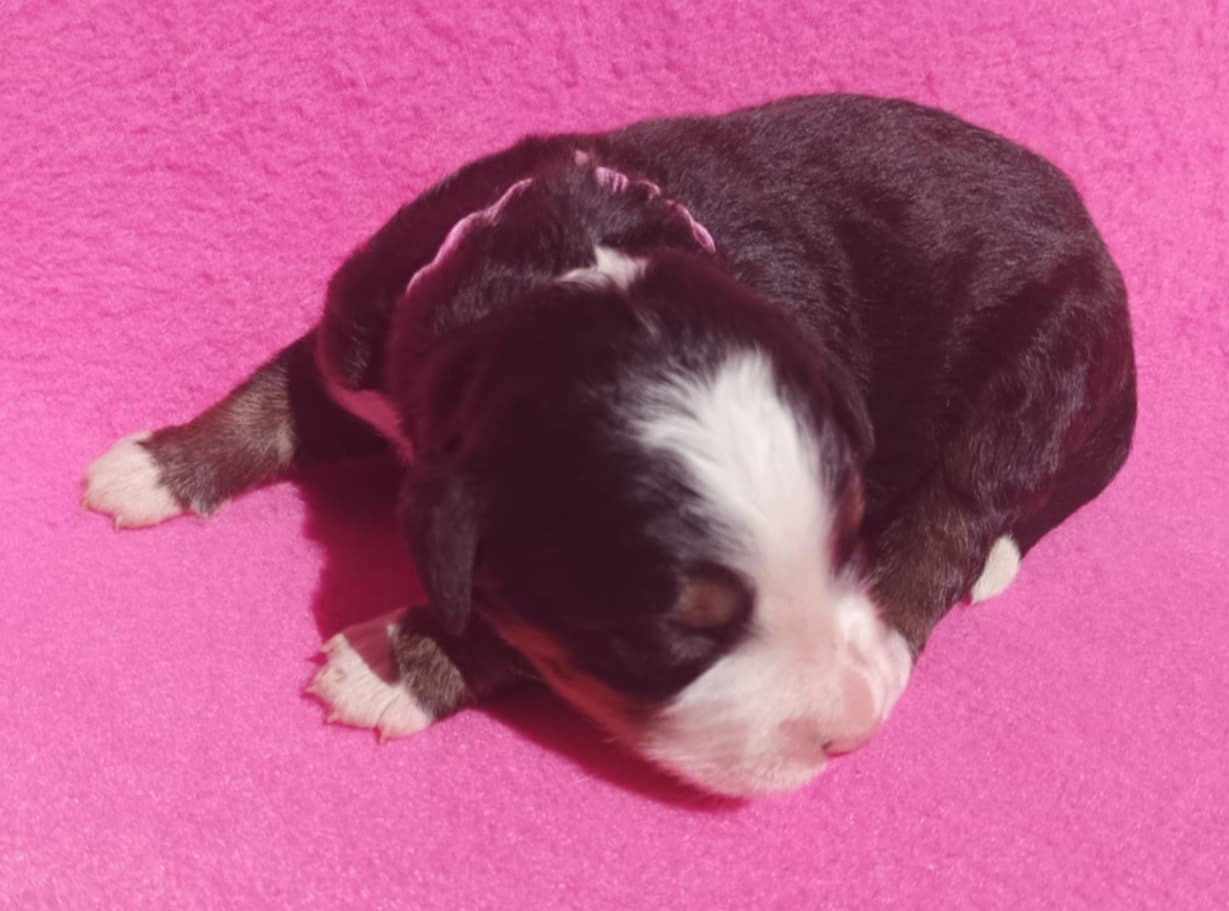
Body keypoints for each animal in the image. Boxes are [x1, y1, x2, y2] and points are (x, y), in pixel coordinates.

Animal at [83, 94, 1136, 797]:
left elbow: (498, 623)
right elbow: (275, 400)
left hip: (1042, 364)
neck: (555, 268)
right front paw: (156, 466)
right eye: (678, 639)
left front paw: (392, 664)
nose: (850, 729)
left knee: (954, 521)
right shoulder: (369, 326)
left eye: (842, 545)